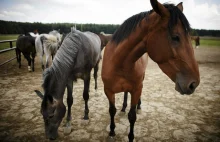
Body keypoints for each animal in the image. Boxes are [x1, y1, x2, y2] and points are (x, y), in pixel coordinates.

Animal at [101, 0, 199, 141]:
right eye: (175, 37)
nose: (194, 83)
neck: (119, 63)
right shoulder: (108, 90)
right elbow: (112, 110)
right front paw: (112, 131)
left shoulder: (137, 89)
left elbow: (132, 116)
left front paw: (131, 136)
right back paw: (124, 107)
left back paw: (138, 106)